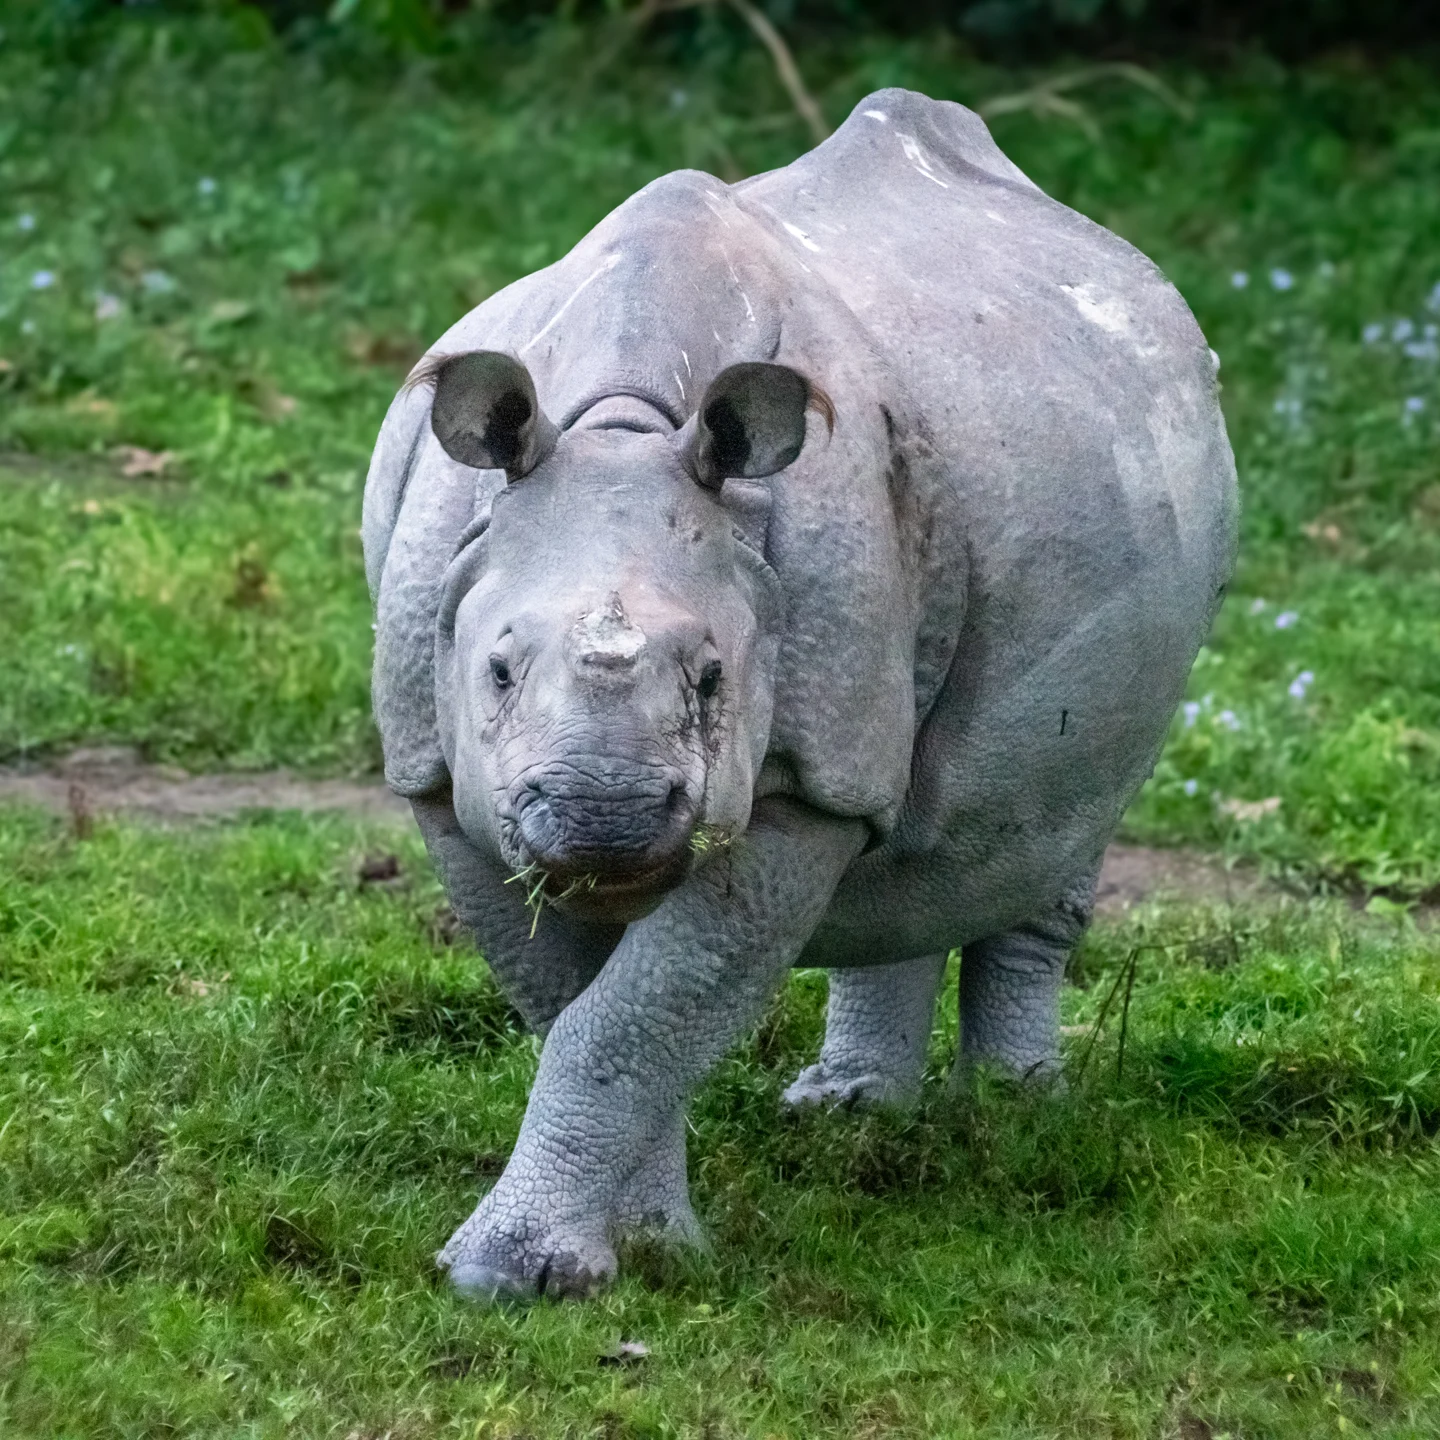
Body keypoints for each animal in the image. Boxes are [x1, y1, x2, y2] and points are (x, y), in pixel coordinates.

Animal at [362, 87, 1237, 1300]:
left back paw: (1017, 1120)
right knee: (924, 834)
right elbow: (587, 1013)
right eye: (494, 671)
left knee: (1057, 813)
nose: (604, 816)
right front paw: (638, 1248)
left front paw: (528, 1273)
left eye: (715, 677)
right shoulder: (441, 775)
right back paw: (851, 1116)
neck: (621, 424)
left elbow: (629, 1024)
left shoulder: (799, 785)